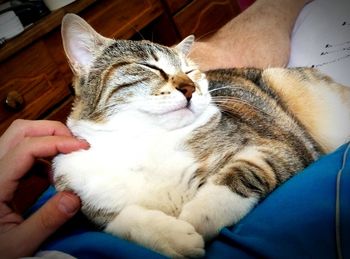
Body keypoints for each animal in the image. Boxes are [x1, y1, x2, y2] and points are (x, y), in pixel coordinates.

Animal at [52, 13, 350, 258]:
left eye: (190, 71)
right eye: (150, 67)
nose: (190, 88)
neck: (146, 141)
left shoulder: (278, 147)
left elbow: (241, 173)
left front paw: (194, 218)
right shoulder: (85, 194)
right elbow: (118, 223)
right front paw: (170, 237)